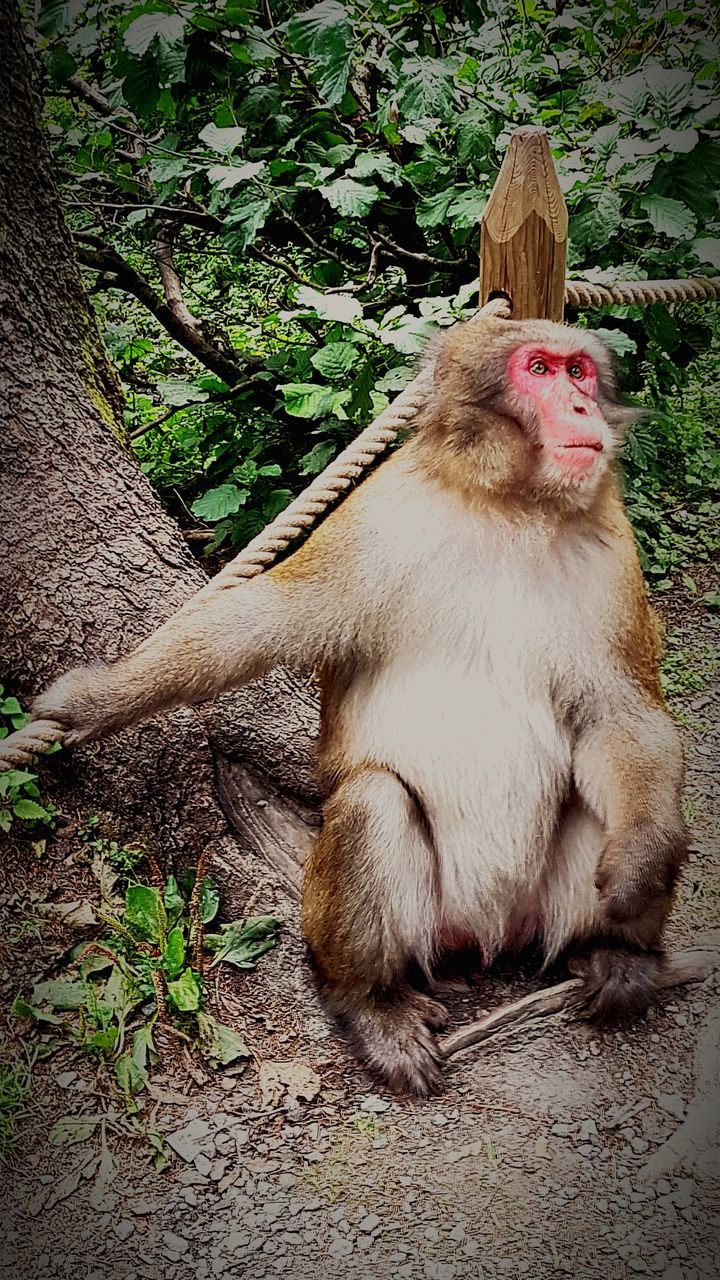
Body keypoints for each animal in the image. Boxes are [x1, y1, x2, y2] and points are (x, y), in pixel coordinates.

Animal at [33, 307, 681, 1090]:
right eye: (540, 370)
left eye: (580, 372)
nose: (582, 408)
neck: (509, 507)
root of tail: (488, 937)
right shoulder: (378, 517)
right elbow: (256, 625)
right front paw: (98, 701)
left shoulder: (613, 549)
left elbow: (625, 714)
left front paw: (644, 858)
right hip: (416, 920)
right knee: (375, 800)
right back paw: (370, 1005)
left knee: (601, 800)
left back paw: (619, 952)